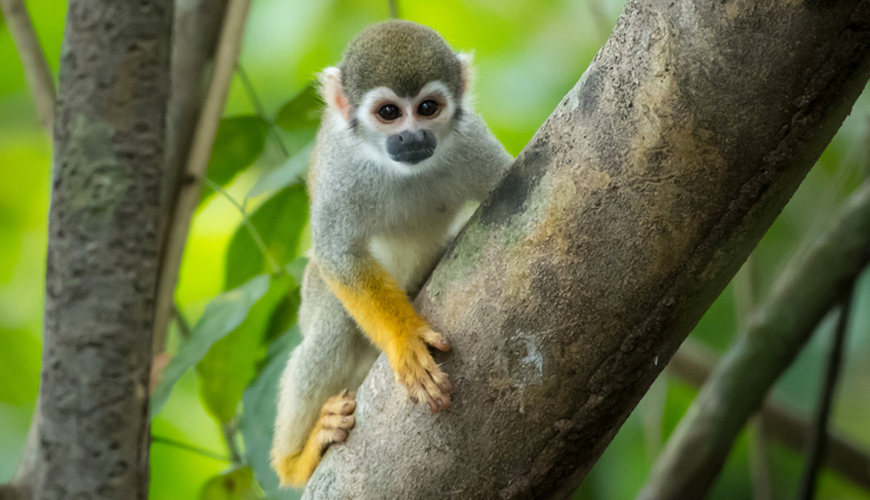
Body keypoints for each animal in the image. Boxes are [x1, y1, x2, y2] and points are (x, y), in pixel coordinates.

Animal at [270, 20, 513, 487]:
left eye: (428, 108)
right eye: (389, 113)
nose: (412, 136)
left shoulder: (470, 140)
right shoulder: (341, 169)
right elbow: (338, 255)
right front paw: (405, 342)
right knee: (330, 324)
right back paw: (295, 461)